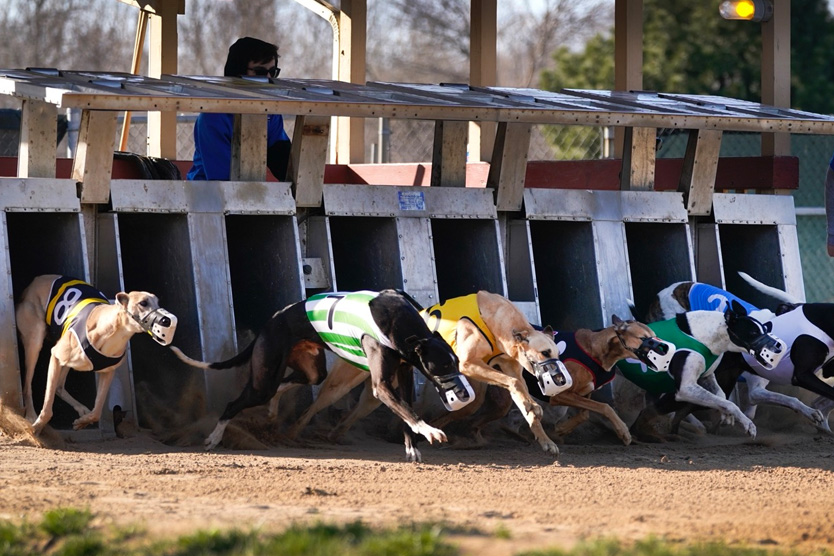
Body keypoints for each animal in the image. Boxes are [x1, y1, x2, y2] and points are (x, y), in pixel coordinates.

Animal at [170, 288, 472, 462]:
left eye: (456, 363)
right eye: (443, 367)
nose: (463, 394)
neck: (401, 323)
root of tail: (270, 323)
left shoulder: (404, 372)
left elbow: (406, 411)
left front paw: (413, 448)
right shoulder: (382, 384)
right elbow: (406, 410)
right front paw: (432, 431)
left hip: (311, 370)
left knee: (286, 385)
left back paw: (272, 411)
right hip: (263, 379)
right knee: (236, 403)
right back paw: (214, 438)